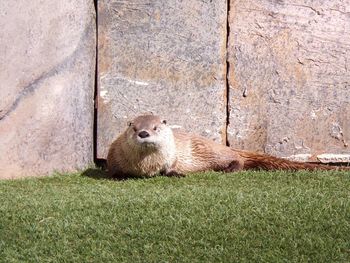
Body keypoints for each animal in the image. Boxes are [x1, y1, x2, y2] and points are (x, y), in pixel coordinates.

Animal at [107, 114, 350, 178]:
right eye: (134, 127)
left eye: (156, 127)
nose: (144, 133)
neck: (146, 167)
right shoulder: (113, 155)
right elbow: (113, 170)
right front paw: (118, 176)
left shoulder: (171, 157)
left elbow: (170, 168)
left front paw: (176, 174)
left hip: (212, 152)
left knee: (239, 159)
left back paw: (231, 169)